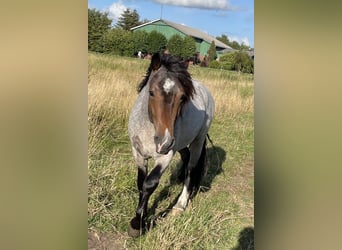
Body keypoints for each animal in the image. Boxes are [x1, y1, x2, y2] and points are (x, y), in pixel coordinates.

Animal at [127, 52, 214, 236]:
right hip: (180, 144)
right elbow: (141, 182)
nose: (164, 142)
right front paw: (142, 216)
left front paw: (138, 223)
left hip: (198, 140)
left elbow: (150, 183)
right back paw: (179, 179)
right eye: (151, 92)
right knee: (186, 156)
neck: (148, 128)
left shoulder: (165, 157)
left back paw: (180, 205)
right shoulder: (138, 153)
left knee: (191, 168)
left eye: (182, 97)